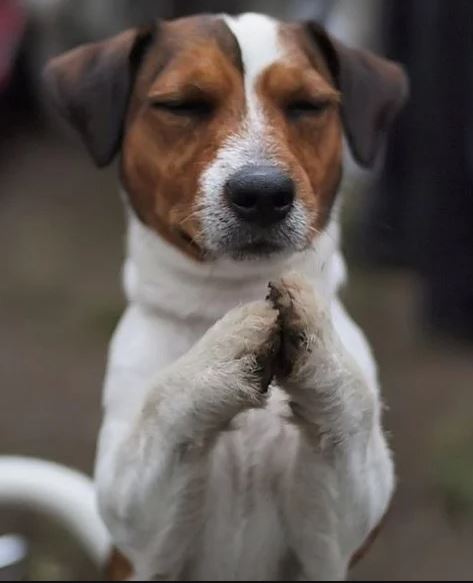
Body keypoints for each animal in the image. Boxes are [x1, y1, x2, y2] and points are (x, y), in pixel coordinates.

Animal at [0, 11, 408, 580]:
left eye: (307, 105)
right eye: (182, 105)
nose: (264, 193)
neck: (230, 293)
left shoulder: (331, 541)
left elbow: (355, 405)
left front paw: (317, 339)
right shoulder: (142, 533)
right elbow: (163, 400)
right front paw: (217, 357)